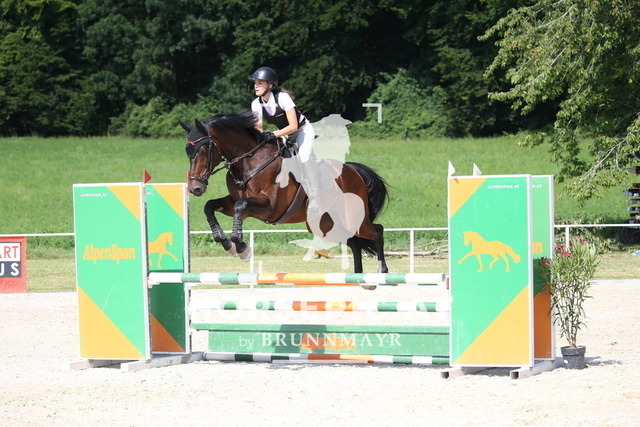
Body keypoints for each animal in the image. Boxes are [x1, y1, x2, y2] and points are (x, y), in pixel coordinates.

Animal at [180, 111, 389, 274]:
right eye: (188, 153)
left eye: (202, 150)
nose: (195, 188)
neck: (248, 161)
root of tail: (354, 171)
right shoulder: (235, 203)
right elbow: (210, 206)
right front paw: (227, 244)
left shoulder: (270, 206)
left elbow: (241, 205)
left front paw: (241, 247)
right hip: (325, 224)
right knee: (354, 241)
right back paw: (360, 276)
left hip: (353, 218)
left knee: (376, 230)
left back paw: (381, 270)